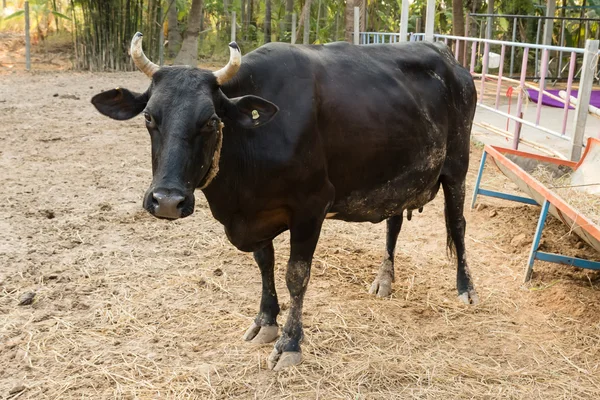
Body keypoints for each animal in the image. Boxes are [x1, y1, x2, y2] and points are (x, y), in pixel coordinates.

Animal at [92, 32, 478, 370]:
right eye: (148, 117)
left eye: (211, 121)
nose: (168, 201)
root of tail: (447, 55)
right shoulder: (257, 213)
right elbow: (265, 264)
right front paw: (265, 321)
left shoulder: (312, 206)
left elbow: (296, 275)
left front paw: (290, 343)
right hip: (398, 175)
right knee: (394, 223)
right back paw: (384, 280)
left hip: (457, 166)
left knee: (457, 224)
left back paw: (466, 288)